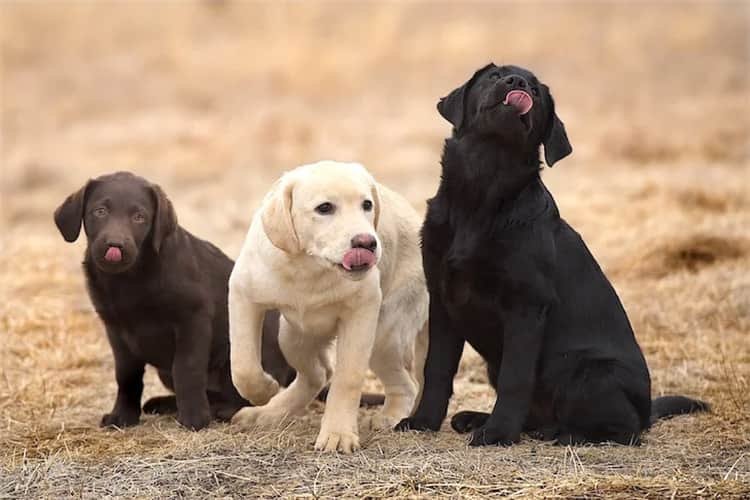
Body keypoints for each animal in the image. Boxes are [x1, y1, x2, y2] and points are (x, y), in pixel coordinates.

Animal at [53, 172, 296, 430]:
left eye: (139, 217)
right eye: (100, 211)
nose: (115, 245)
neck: (129, 279)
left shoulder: (193, 319)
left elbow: (187, 369)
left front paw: (194, 419)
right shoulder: (116, 330)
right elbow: (126, 376)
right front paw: (123, 416)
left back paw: (220, 410)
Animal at [228, 160, 428, 454]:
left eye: (367, 205)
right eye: (324, 208)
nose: (367, 243)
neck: (310, 267)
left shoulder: (363, 310)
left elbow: (347, 378)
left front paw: (338, 434)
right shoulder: (243, 294)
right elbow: (243, 366)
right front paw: (264, 391)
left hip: (384, 336)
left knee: (407, 385)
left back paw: (390, 416)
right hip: (293, 336)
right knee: (318, 374)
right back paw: (269, 412)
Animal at [396, 63, 708, 446]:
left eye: (535, 91)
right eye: (493, 76)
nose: (516, 83)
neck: (482, 190)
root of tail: (646, 409)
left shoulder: (526, 305)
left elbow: (516, 377)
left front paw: (498, 433)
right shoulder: (442, 300)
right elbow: (437, 368)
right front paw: (423, 421)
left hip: (589, 372)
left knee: (625, 429)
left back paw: (563, 434)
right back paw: (477, 418)